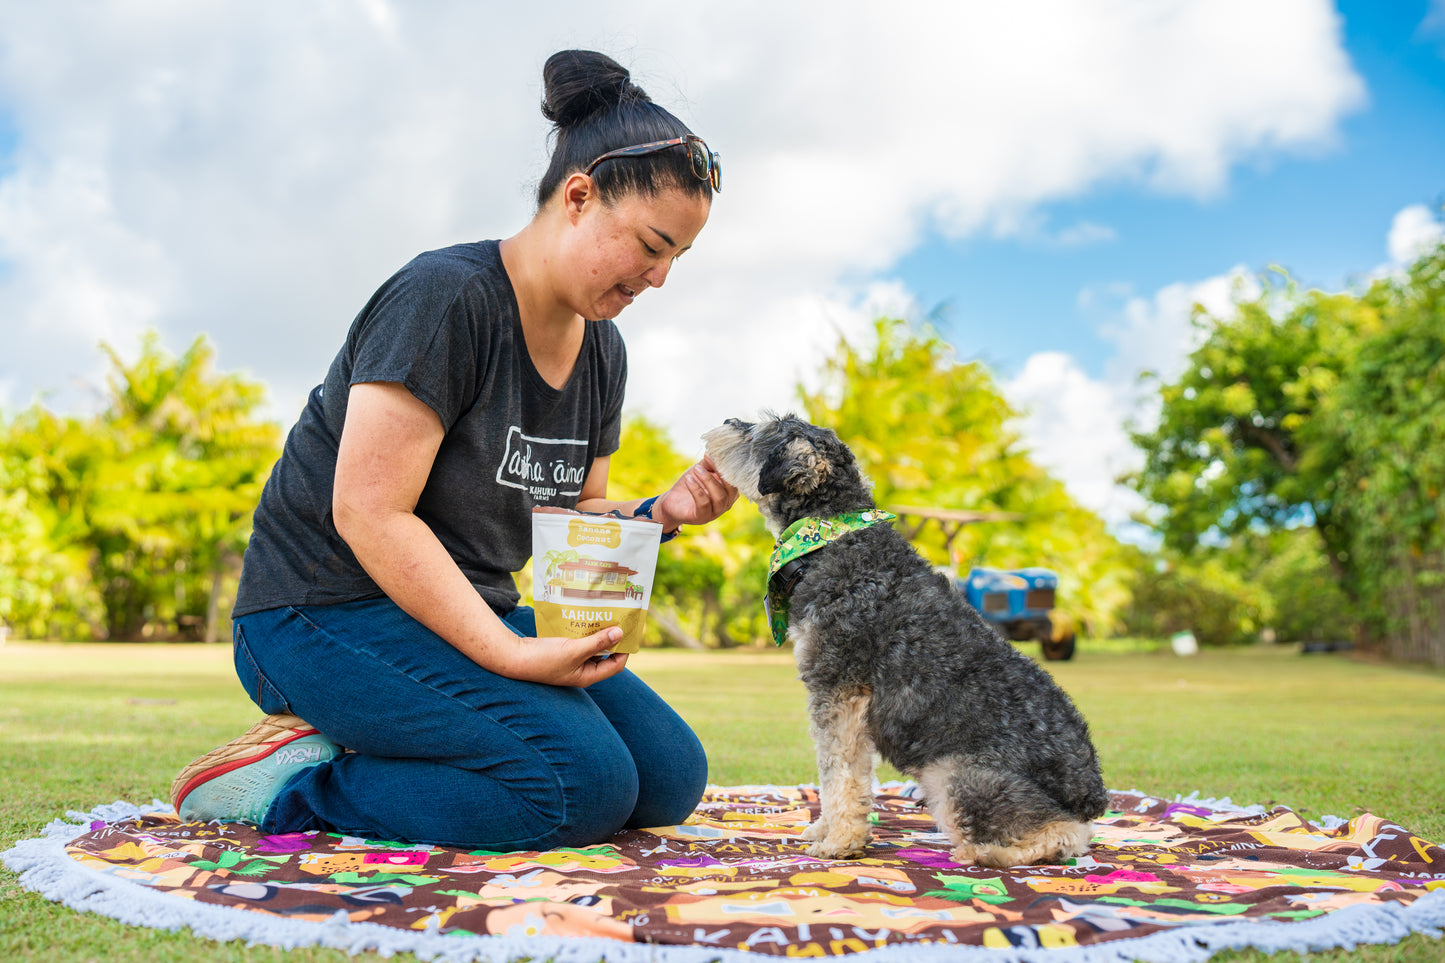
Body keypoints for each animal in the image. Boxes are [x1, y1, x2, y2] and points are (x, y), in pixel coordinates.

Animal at [699, 410, 1103, 861]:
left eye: (760, 430)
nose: (727, 419)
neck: (831, 536)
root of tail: (1091, 794)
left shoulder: (838, 692)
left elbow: (837, 773)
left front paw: (839, 841)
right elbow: (850, 775)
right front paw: (828, 830)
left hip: (953, 774)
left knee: (1063, 835)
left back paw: (979, 852)